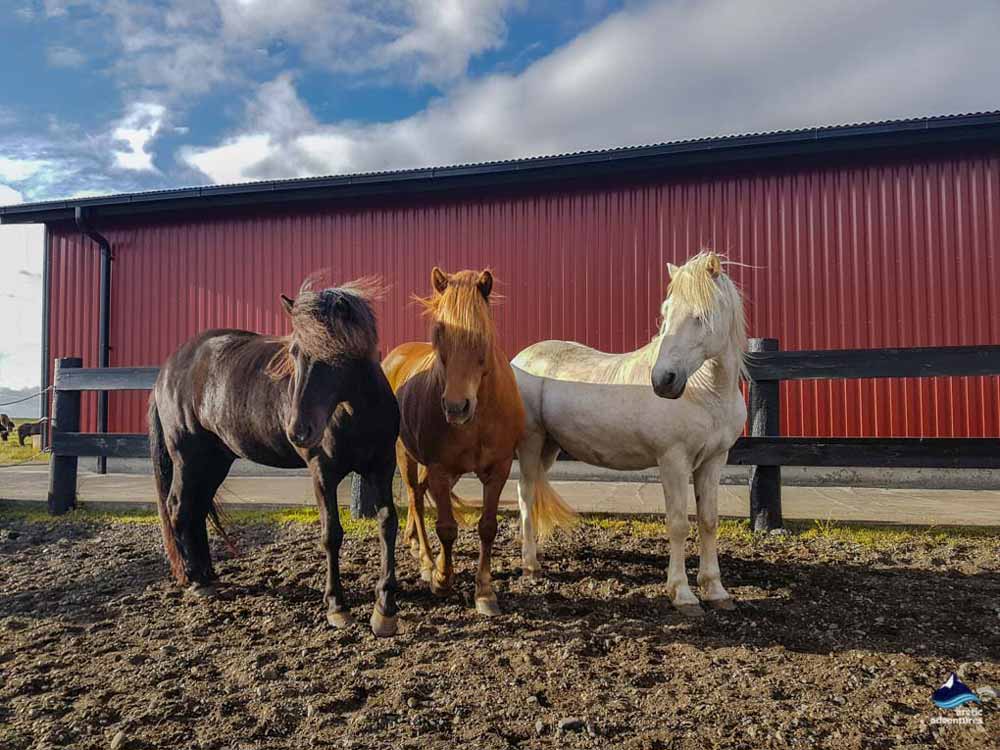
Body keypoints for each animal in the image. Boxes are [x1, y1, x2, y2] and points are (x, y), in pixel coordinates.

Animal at [149, 278, 402, 636]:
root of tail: (170, 367)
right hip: (188, 456)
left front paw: (385, 608)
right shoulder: (322, 472)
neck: (355, 412)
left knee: (196, 509)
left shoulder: (381, 467)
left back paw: (208, 575)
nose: (298, 430)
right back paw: (197, 581)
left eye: (334, 353)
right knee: (179, 508)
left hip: (214, 461)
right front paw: (337, 606)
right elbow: (331, 534)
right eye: (295, 352)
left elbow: (387, 524)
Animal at [382, 267, 525, 616]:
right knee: (416, 500)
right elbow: (446, 528)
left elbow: (488, 527)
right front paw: (442, 579)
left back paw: (415, 543)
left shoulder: (499, 469)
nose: (456, 407)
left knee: (419, 496)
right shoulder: (439, 470)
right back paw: (425, 561)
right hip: (405, 456)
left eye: (482, 336)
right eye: (438, 333)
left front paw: (485, 591)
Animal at [512, 251, 747, 616]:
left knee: (533, 493)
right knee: (524, 495)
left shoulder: (714, 461)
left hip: (548, 447)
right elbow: (678, 523)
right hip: (530, 443)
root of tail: (519, 358)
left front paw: (716, 590)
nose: (663, 380)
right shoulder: (674, 462)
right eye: (666, 312)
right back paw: (530, 565)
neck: (707, 392)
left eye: (701, 315)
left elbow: (708, 521)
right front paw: (682, 594)